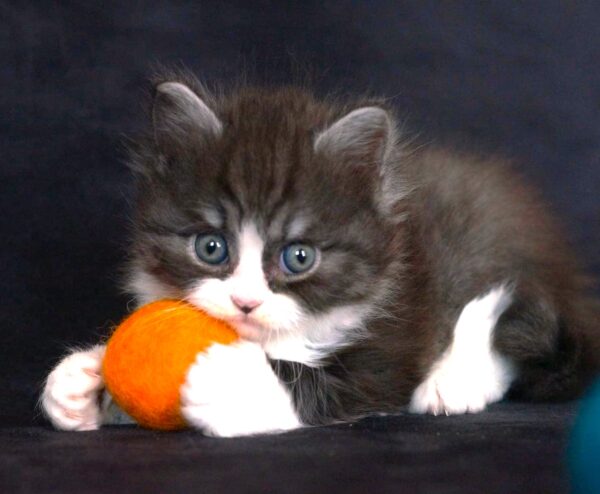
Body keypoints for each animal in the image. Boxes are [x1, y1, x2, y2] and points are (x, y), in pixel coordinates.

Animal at [42, 73, 600, 436]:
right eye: (211, 247)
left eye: (299, 257)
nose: (245, 302)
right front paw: (82, 383)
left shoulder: (397, 333)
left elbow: (331, 382)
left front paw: (230, 381)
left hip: (480, 242)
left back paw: (454, 381)